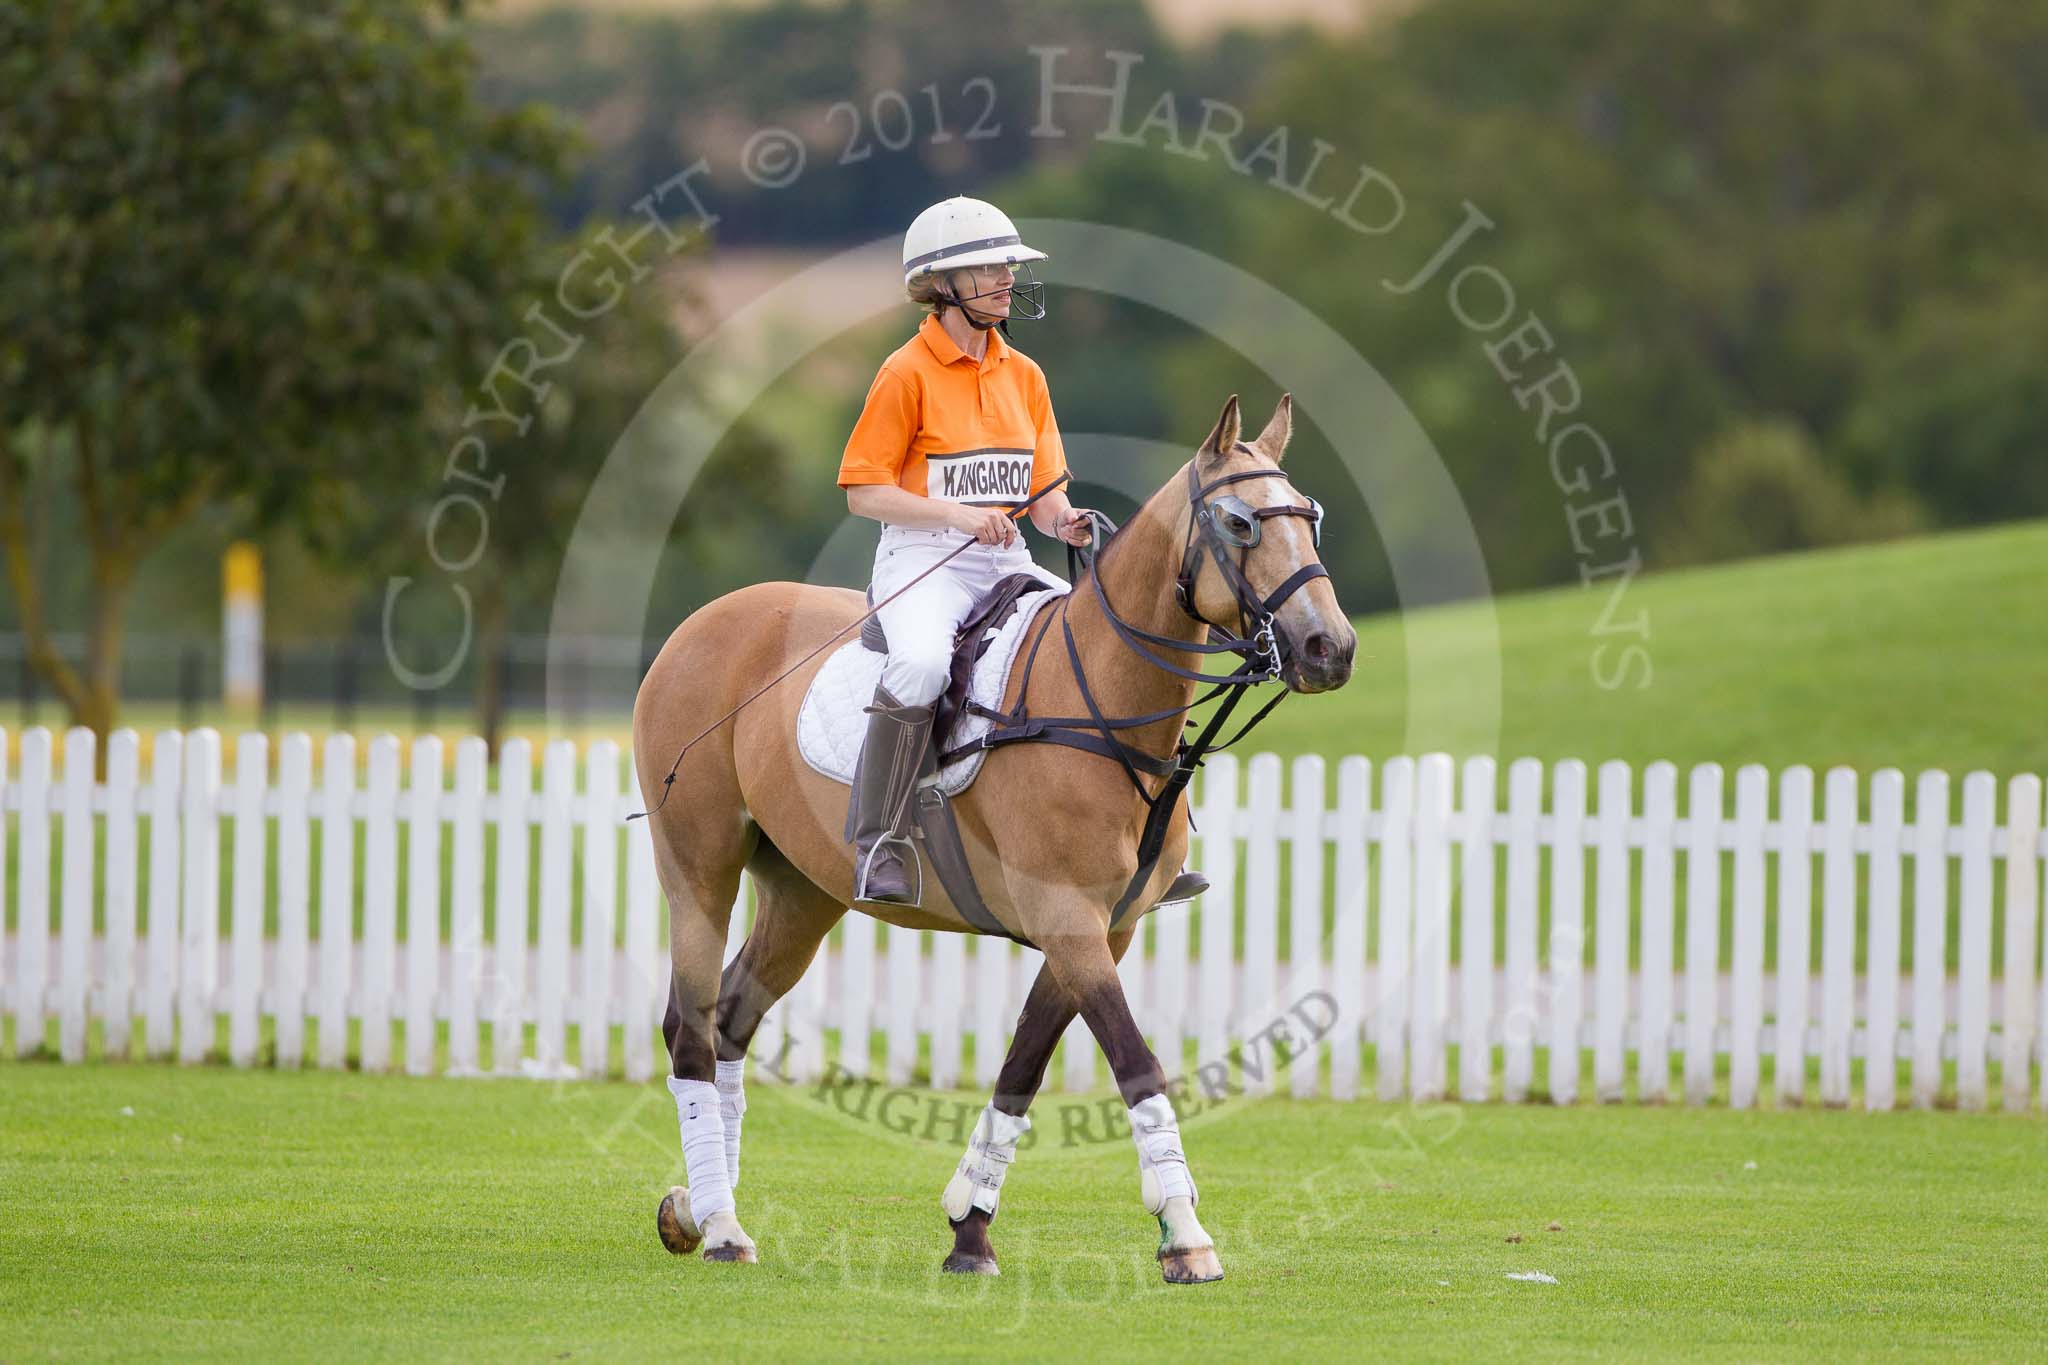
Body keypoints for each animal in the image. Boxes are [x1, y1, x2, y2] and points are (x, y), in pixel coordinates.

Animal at [630, 392, 1351, 1285]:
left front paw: (969, 1230)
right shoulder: (1068, 918)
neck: (1104, 702)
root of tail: (694, 627)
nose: (1331, 647)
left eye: (1310, 515)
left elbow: (1020, 1071)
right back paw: (723, 1223)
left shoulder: (1104, 927)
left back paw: (696, 1208)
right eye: (1241, 521)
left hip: (803, 890)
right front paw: (1185, 1234)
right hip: (698, 865)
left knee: (731, 1015)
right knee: (692, 1028)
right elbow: (1135, 1061)